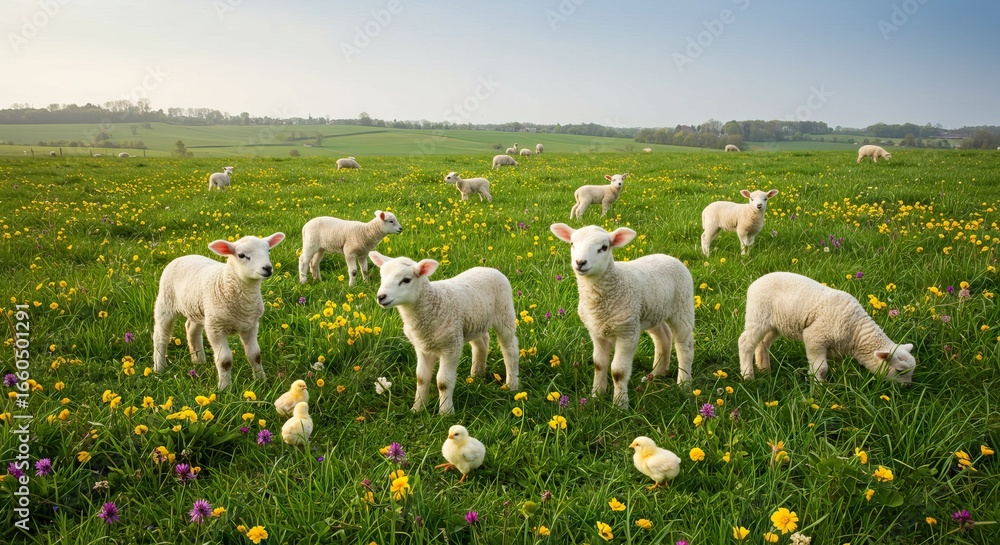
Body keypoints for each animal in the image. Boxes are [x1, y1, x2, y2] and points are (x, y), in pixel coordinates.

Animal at [153, 233, 285, 390]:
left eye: (268, 251)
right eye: (241, 255)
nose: (267, 268)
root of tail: (183, 256)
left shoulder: (251, 325)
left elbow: (255, 355)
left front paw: (261, 380)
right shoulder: (215, 328)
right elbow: (224, 361)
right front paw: (224, 388)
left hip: (199, 310)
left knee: (191, 330)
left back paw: (198, 361)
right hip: (166, 302)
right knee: (160, 336)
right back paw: (159, 368)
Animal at [368, 251, 520, 414]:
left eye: (406, 280)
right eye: (382, 277)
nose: (381, 297)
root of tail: (489, 268)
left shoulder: (451, 346)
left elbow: (443, 382)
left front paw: (445, 413)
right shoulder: (422, 347)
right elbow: (421, 378)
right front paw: (418, 408)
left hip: (504, 313)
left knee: (510, 349)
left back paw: (511, 385)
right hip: (474, 323)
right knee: (481, 343)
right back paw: (476, 375)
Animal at [550, 224, 695, 408]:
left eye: (604, 247)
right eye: (572, 244)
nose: (580, 262)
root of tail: (668, 256)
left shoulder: (627, 333)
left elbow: (618, 371)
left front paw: (620, 405)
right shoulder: (596, 332)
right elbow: (599, 364)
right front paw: (597, 395)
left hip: (682, 307)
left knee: (685, 346)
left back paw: (684, 384)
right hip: (652, 312)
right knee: (664, 337)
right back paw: (657, 373)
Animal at [738, 272, 916, 384]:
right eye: (900, 371)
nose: (907, 387)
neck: (856, 331)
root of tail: (755, 282)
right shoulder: (815, 337)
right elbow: (822, 369)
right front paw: (818, 390)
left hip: (775, 324)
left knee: (762, 344)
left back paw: (765, 370)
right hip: (757, 316)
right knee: (745, 342)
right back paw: (748, 376)